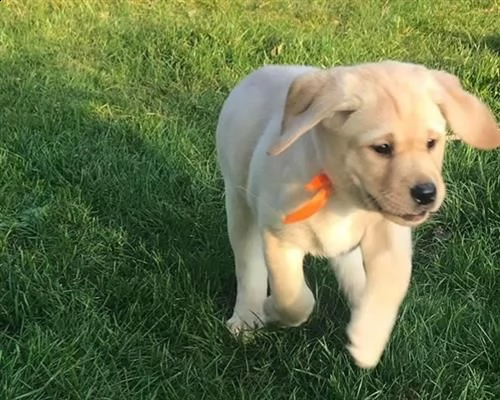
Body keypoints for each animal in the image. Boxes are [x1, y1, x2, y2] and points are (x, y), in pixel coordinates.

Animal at [215, 61, 500, 370]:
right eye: (382, 148)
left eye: (431, 143)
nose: (426, 193)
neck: (342, 197)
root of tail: (266, 69)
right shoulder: (278, 236)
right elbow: (294, 299)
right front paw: (270, 309)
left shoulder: (389, 239)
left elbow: (387, 289)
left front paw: (367, 340)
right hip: (238, 203)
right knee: (248, 263)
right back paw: (246, 317)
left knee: (350, 266)